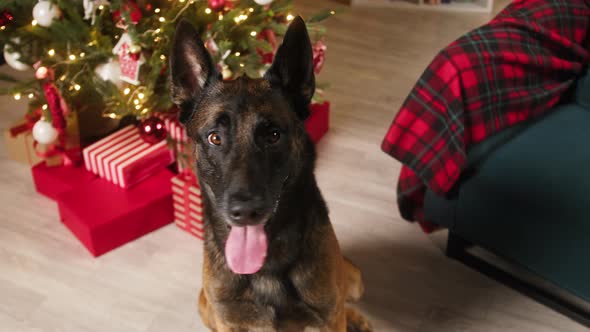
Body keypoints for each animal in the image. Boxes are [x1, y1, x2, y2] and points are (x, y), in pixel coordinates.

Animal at [171, 16, 372, 332]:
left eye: (273, 135)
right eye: (215, 138)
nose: (245, 212)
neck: (265, 270)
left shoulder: (329, 317)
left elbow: (335, 308)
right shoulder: (227, 320)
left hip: (353, 280)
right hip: (204, 304)